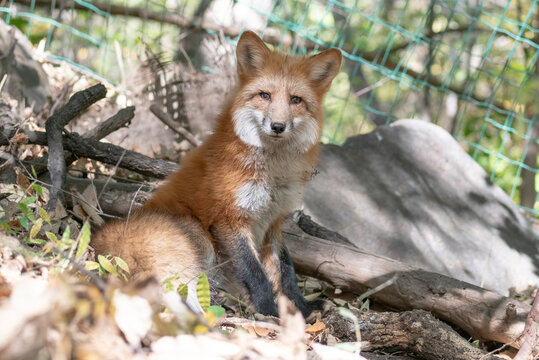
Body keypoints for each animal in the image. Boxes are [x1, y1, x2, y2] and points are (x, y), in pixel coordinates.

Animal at [90, 31, 340, 318]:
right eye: (265, 95)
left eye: (295, 100)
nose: (278, 126)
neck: (272, 175)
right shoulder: (229, 219)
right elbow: (257, 274)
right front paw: (269, 312)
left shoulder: (274, 222)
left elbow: (286, 271)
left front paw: (302, 308)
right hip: (193, 241)